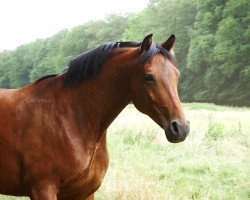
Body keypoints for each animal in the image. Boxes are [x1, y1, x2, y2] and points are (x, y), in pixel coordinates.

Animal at [0, 33, 189, 199]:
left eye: (177, 75)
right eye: (149, 77)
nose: (181, 128)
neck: (71, 117)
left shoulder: (85, 192)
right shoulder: (43, 189)